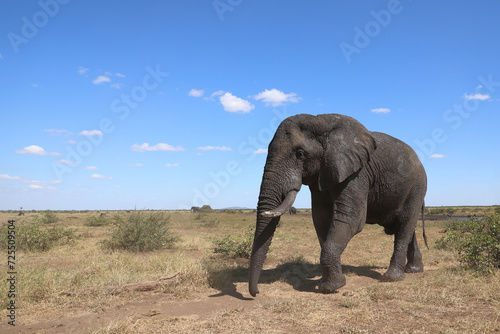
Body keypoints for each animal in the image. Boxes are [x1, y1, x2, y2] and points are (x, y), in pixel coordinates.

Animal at [248, 113, 428, 296]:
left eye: (300, 154)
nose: (256, 293)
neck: (322, 122)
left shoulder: (357, 173)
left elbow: (351, 219)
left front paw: (331, 287)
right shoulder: (322, 173)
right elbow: (321, 219)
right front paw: (327, 283)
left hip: (417, 187)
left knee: (405, 226)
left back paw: (392, 278)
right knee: (406, 228)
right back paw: (414, 270)